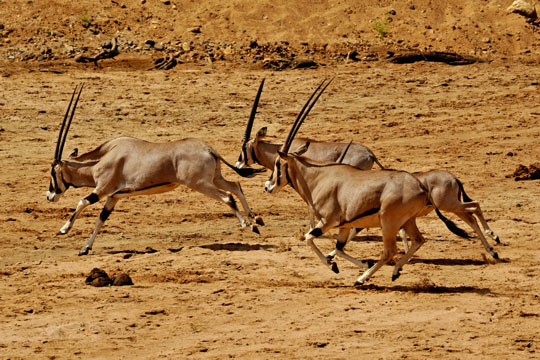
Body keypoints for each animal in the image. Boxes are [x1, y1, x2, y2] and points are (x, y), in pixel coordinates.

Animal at [48, 85, 264, 256]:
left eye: (52, 172)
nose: (50, 196)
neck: (102, 158)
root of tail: (209, 149)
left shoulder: (102, 190)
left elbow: (82, 202)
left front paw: (63, 230)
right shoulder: (114, 197)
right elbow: (101, 219)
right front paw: (85, 248)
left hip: (201, 184)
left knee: (228, 196)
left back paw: (246, 224)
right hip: (214, 178)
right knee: (236, 186)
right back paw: (255, 220)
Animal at [264, 80, 468, 286]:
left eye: (278, 163)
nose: (268, 186)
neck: (317, 177)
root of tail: (420, 186)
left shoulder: (328, 221)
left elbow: (308, 239)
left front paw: (334, 266)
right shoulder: (344, 225)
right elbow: (339, 248)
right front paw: (358, 263)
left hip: (389, 222)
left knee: (389, 251)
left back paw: (362, 279)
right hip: (407, 220)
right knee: (418, 240)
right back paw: (395, 271)